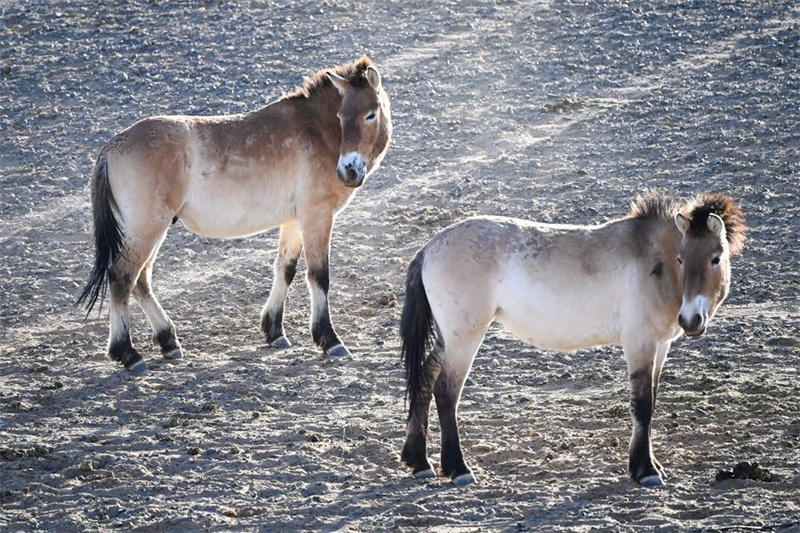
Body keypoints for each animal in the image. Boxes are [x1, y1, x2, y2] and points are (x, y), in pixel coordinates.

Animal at [76, 57, 392, 373]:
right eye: (340, 116)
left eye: (370, 115)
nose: (348, 171)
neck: (316, 130)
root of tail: (111, 148)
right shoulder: (317, 218)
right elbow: (318, 276)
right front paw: (329, 340)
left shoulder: (293, 221)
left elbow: (285, 269)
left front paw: (274, 332)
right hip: (147, 230)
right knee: (122, 276)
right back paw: (128, 353)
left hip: (152, 231)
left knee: (141, 280)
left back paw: (169, 342)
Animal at [400, 191, 746, 488]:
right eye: (682, 258)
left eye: (716, 258)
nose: (691, 320)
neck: (654, 259)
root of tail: (429, 249)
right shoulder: (640, 343)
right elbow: (642, 405)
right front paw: (645, 471)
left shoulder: (661, 346)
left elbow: (653, 400)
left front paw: (650, 464)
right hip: (464, 338)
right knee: (446, 391)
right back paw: (458, 469)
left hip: (448, 338)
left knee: (425, 379)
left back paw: (420, 462)